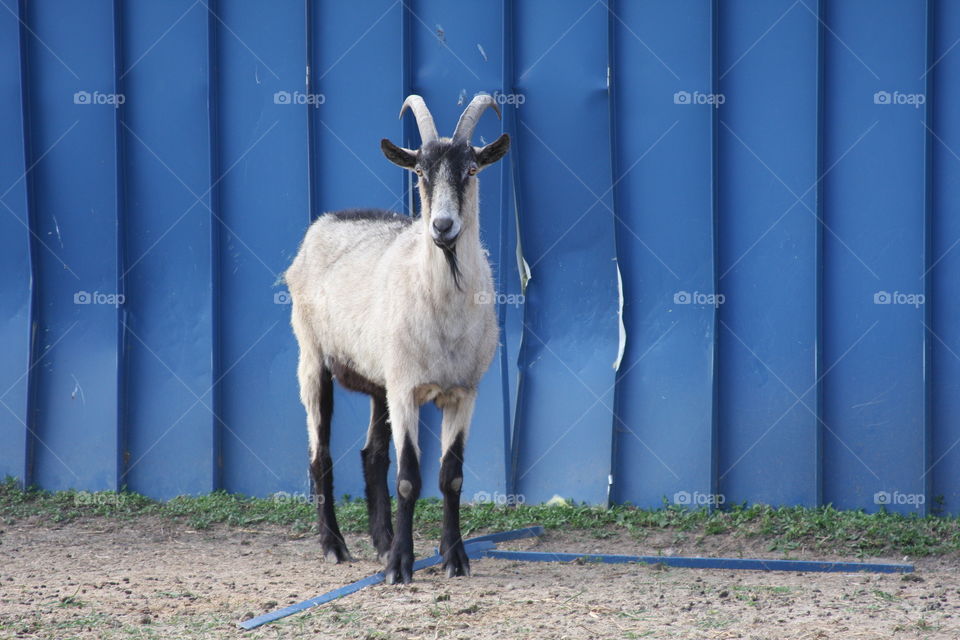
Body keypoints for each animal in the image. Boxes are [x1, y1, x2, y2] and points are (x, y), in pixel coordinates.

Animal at [284, 94, 510, 584]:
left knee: (372, 455)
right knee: (319, 455)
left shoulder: (462, 392)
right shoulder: (406, 389)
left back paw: (383, 541)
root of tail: (328, 220)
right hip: (313, 358)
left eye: (471, 169)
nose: (442, 227)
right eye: (421, 171)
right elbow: (409, 478)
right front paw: (400, 568)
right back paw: (335, 546)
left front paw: (453, 558)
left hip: (378, 382)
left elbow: (451, 476)